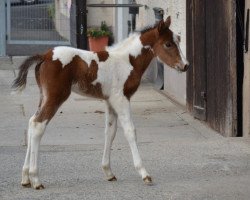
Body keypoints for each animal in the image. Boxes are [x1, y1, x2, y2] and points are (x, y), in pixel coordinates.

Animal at [11, 16, 188, 189]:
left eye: (179, 40)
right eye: (168, 44)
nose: (185, 65)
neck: (128, 60)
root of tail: (44, 56)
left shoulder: (110, 101)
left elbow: (110, 132)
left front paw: (108, 172)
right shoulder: (121, 98)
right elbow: (130, 131)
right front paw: (144, 173)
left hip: (44, 96)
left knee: (32, 122)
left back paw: (25, 177)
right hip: (56, 96)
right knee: (38, 125)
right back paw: (35, 179)